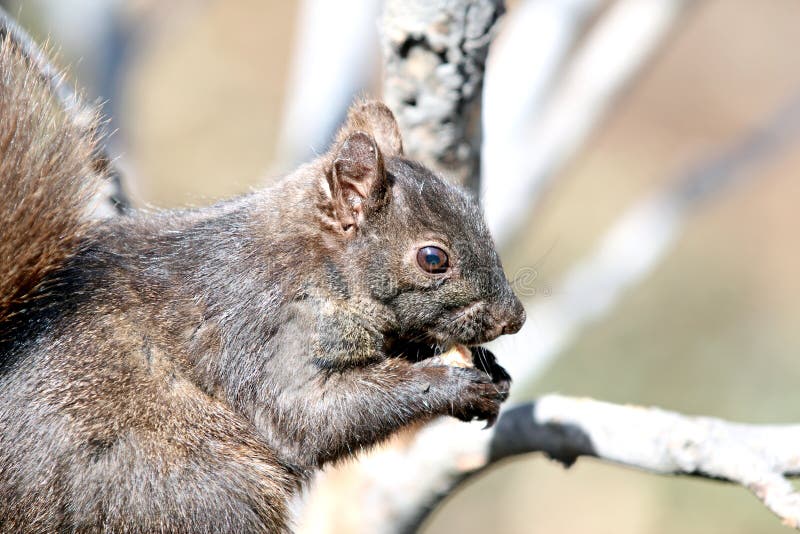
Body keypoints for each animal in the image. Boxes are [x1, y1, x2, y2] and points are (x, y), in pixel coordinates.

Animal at [0, 20, 525, 534]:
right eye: (433, 258)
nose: (514, 318)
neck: (317, 266)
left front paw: (493, 370)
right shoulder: (268, 331)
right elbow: (307, 415)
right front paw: (453, 384)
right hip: (183, 490)